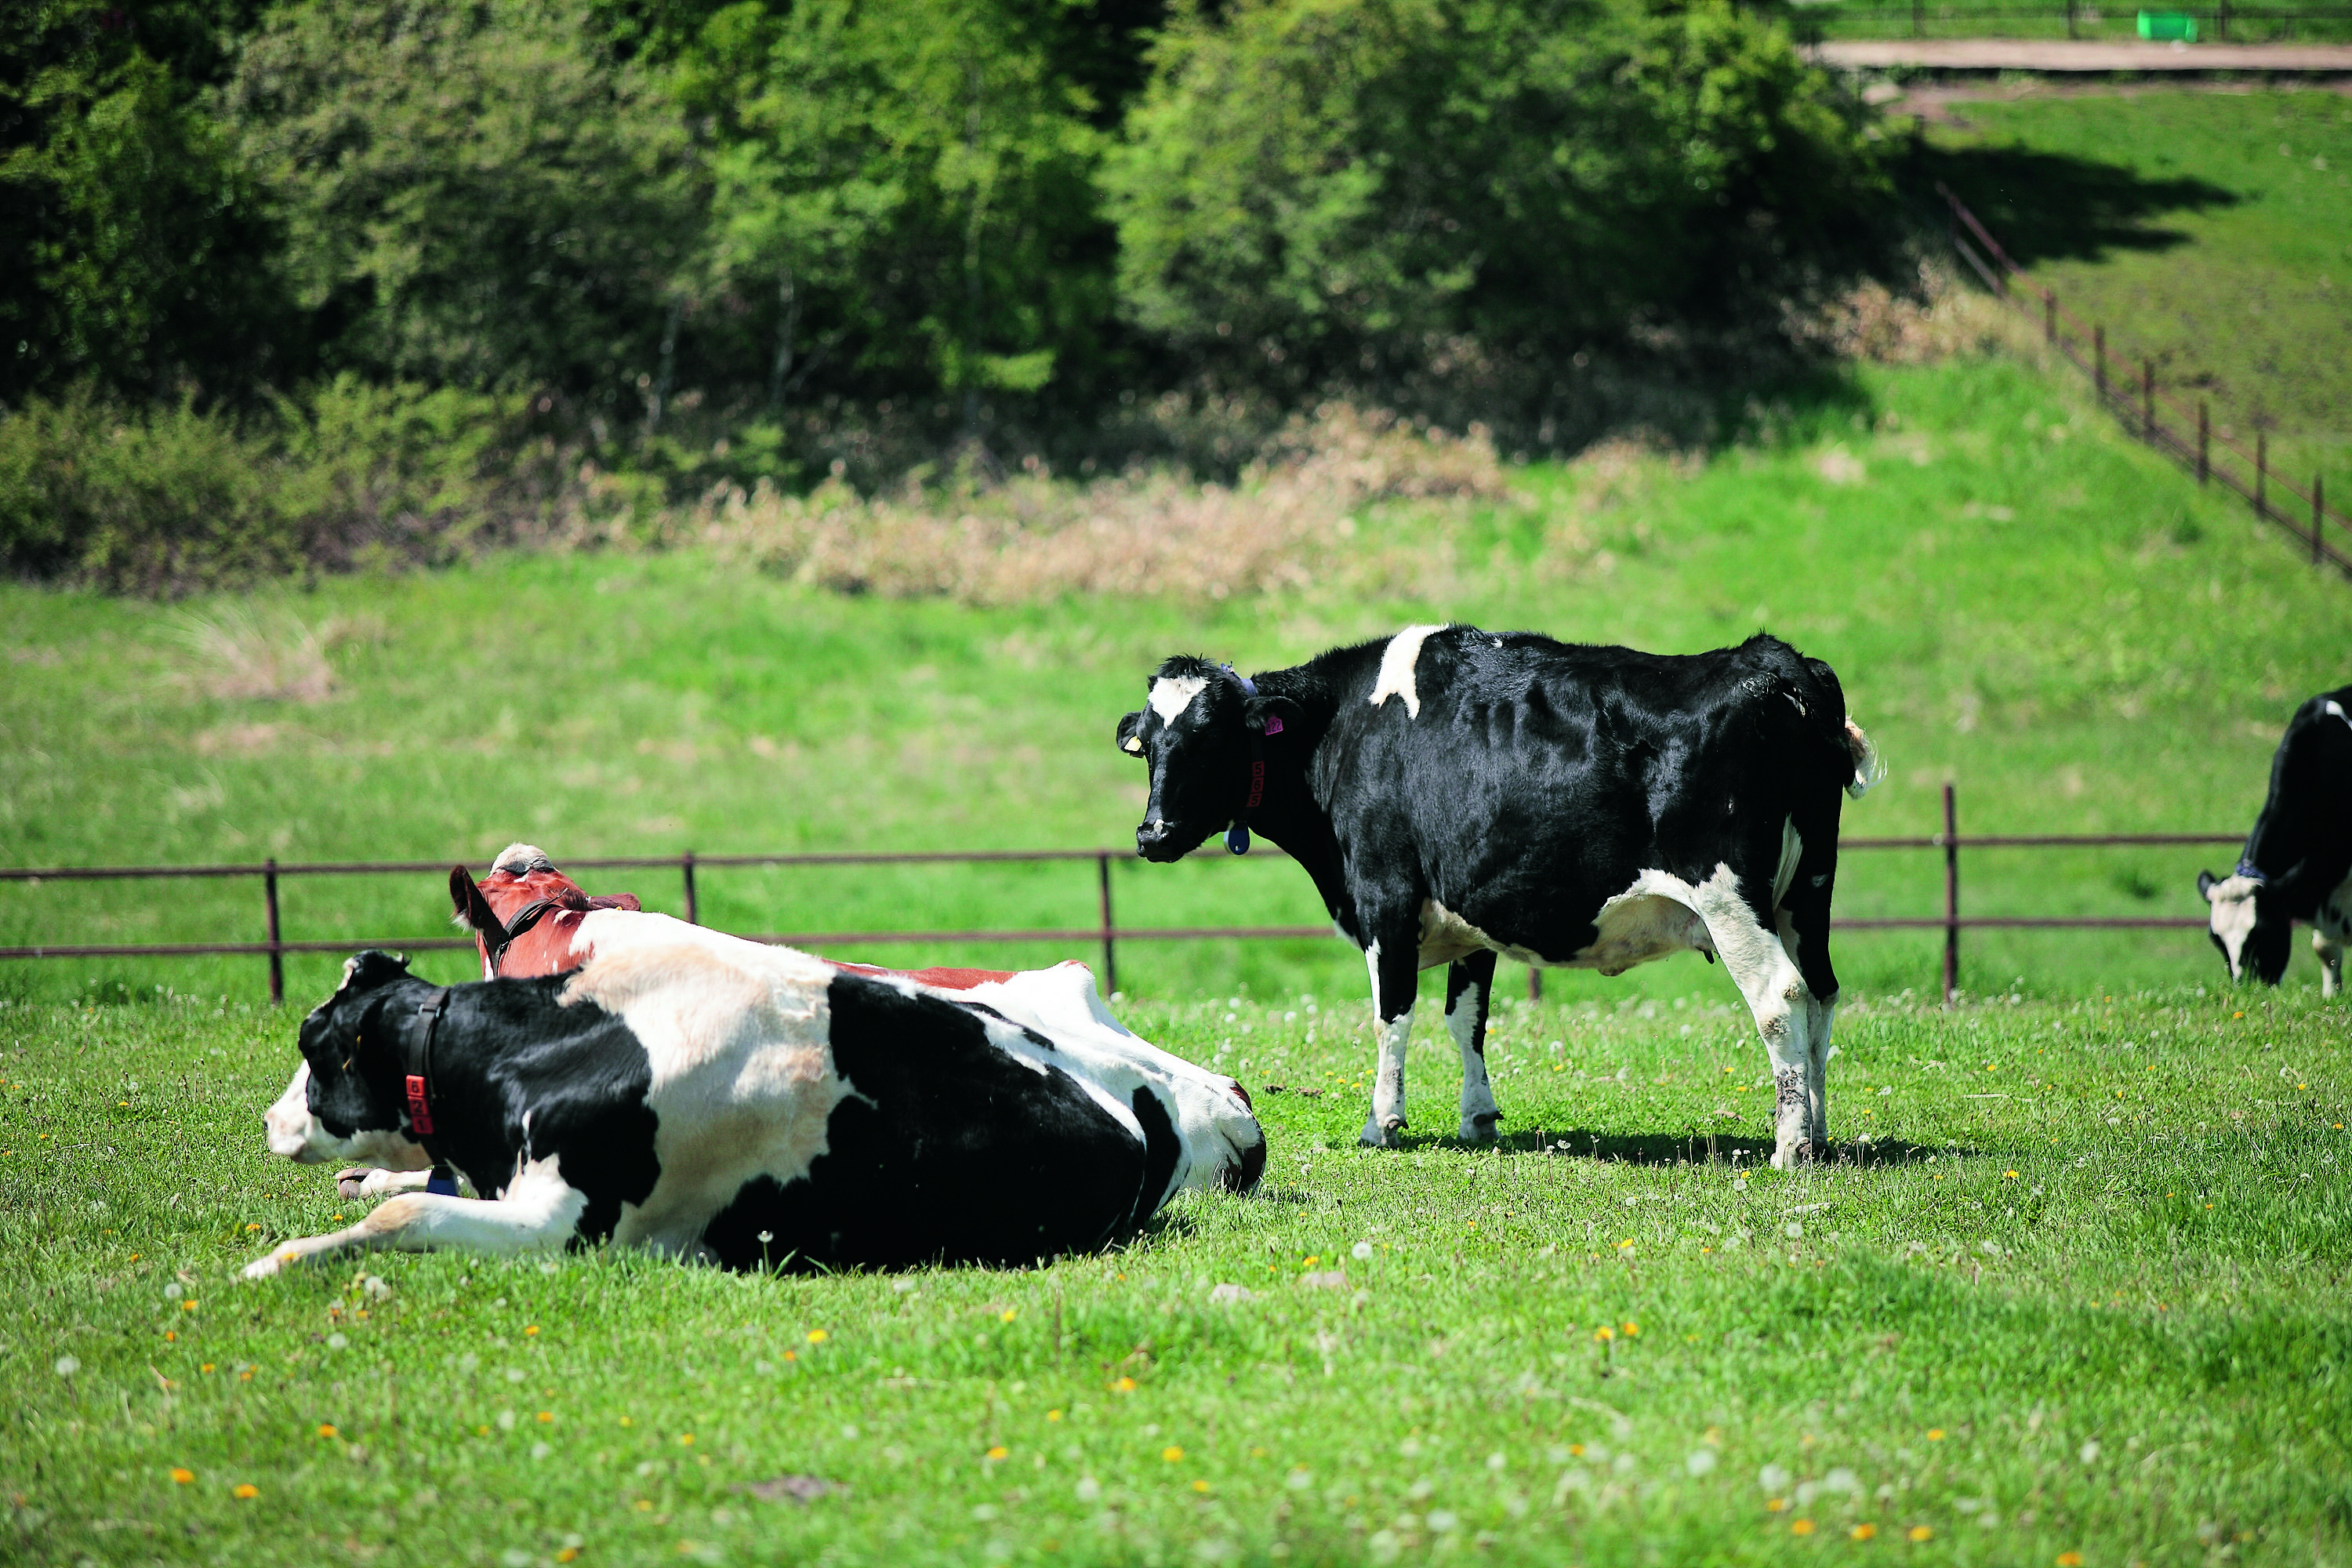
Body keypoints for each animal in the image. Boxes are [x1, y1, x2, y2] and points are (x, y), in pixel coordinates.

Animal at [252, 879, 1270, 1279]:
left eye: (312, 1041)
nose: (269, 1120)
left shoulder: (565, 1225)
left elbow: (407, 1211)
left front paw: (279, 1258)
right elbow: (413, 1190)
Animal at [1115, 625, 1872, 1166]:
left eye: (1211, 740)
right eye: (1147, 745)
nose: (1151, 833)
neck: (1343, 730)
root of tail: (1776, 662)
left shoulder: (1386, 896)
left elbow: (1392, 1016)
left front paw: (1381, 1123)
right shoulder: (1467, 911)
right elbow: (1466, 1018)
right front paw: (1477, 1119)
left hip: (1729, 897)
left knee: (1780, 996)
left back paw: (1790, 1146)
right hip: (1810, 891)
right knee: (1822, 992)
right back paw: (1821, 1132)